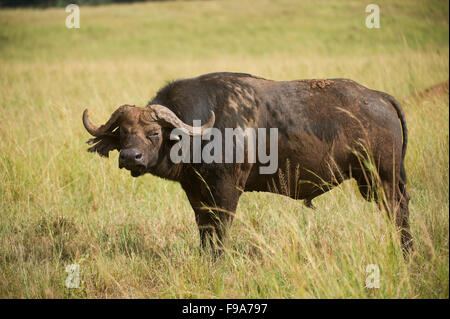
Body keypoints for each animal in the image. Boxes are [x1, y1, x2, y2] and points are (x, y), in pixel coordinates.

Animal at [81, 72, 412, 255]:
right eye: (123, 133)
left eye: (153, 133)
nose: (129, 157)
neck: (202, 132)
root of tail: (379, 97)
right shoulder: (196, 192)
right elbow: (205, 228)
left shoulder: (227, 190)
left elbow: (221, 227)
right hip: (372, 181)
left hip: (382, 178)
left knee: (398, 211)